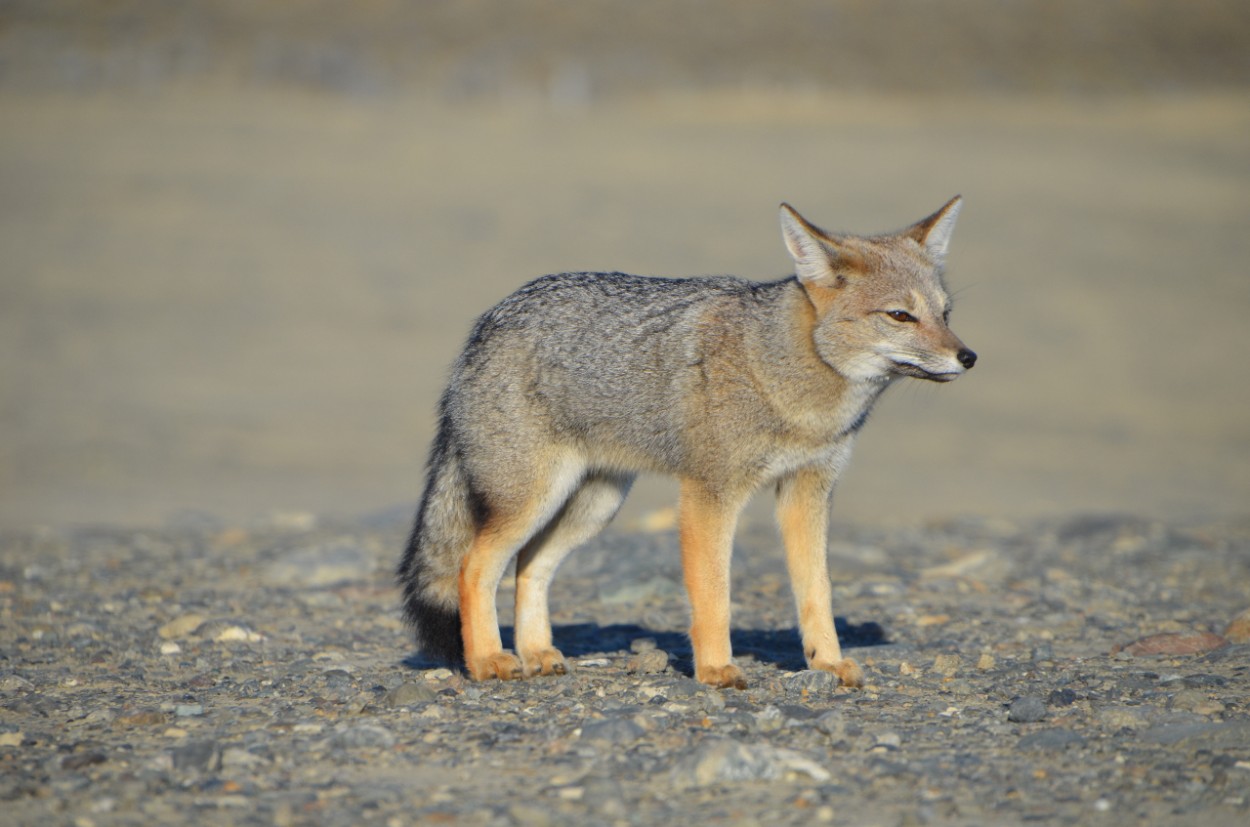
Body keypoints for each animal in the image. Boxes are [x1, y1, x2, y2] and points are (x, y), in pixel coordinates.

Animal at [400, 197, 975, 689]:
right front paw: (716, 669)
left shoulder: (808, 491)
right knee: (474, 568)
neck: (786, 374)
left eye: (945, 314)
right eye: (900, 316)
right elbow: (714, 595)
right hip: (533, 499)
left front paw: (827, 664)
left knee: (528, 566)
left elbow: (817, 591)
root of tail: (487, 321)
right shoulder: (709, 494)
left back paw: (536, 653)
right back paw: (487, 660)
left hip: (593, 504)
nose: (968, 357)